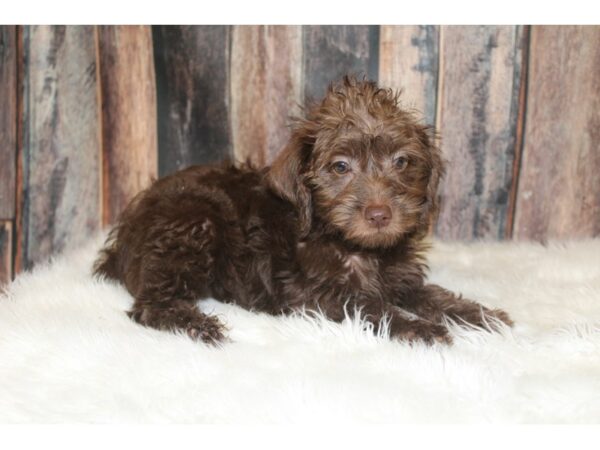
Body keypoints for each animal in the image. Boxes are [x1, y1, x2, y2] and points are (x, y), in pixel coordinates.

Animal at [94, 77, 510, 344]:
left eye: (402, 162)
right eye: (340, 167)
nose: (379, 214)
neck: (355, 246)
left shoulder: (400, 277)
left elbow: (430, 295)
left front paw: (478, 315)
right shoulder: (311, 293)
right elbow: (371, 306)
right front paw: (420, 329)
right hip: (191, 222)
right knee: (149, 305)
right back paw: (198, 326)